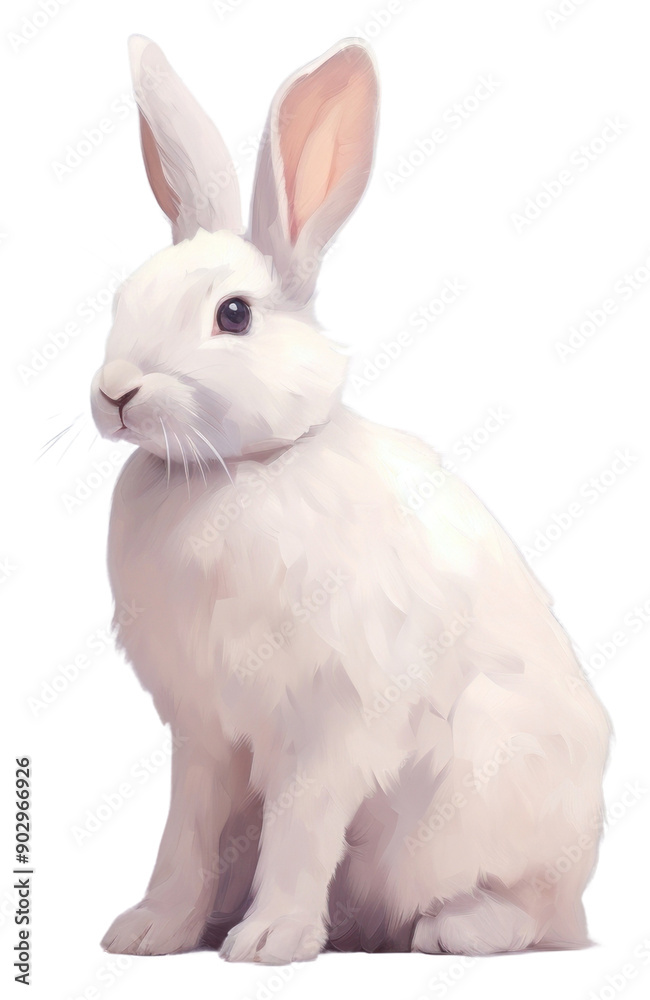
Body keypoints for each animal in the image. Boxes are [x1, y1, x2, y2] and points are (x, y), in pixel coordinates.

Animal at [92, 35, 610, 964]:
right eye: (122, 299)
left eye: (233, 315)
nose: (114, 392)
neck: (236, 469)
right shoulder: (202, 735)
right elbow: (184, 835)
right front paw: (149, 932)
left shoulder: (329, 724)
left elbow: (301, 828)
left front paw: (270, 942)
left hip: (475, 805)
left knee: (532, 910)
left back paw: (456, 929)